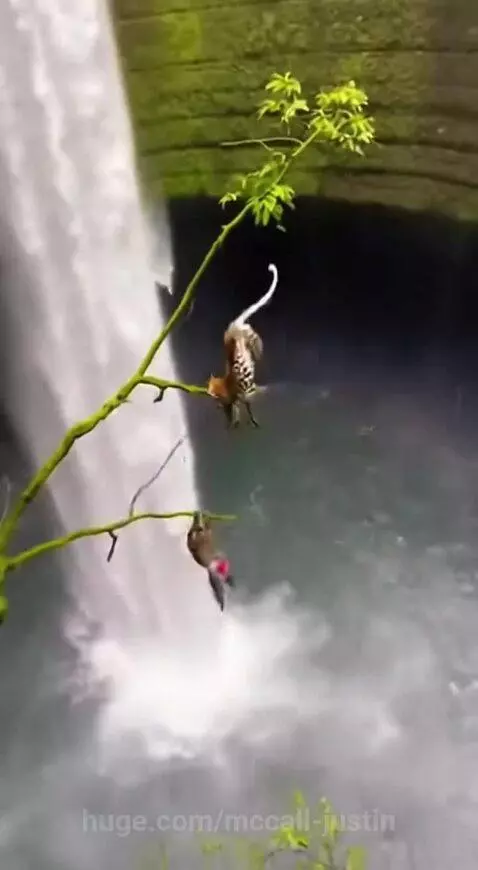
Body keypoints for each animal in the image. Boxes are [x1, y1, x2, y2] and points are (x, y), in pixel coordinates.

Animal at [206, 263, 278, 428]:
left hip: (247, 335)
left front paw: (249, 419)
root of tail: (233, 326)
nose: (210, 394)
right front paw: (233, 421)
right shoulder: (233, 401)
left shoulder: (242, 395)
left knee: (253, 341)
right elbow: (235, 410)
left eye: (211, 390)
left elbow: (245, 407)